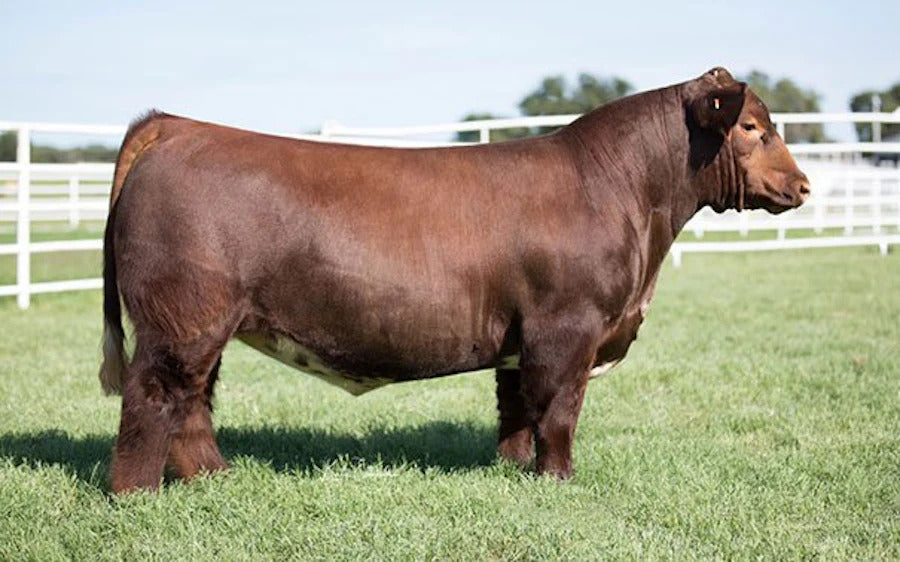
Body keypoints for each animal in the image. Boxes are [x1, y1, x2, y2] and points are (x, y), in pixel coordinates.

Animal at [99, 67, 809, 493]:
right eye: (751, 126)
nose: (803, 185)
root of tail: (178, 127)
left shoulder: (523, 340)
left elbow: (518, 407)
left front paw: (515, 471)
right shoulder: (568, 327)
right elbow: (560, 410)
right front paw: (558, 480)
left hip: (204, 323)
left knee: (193, 404)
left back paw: (215, 478)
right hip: (181, 320)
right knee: (154, 397)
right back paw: (136, 494)